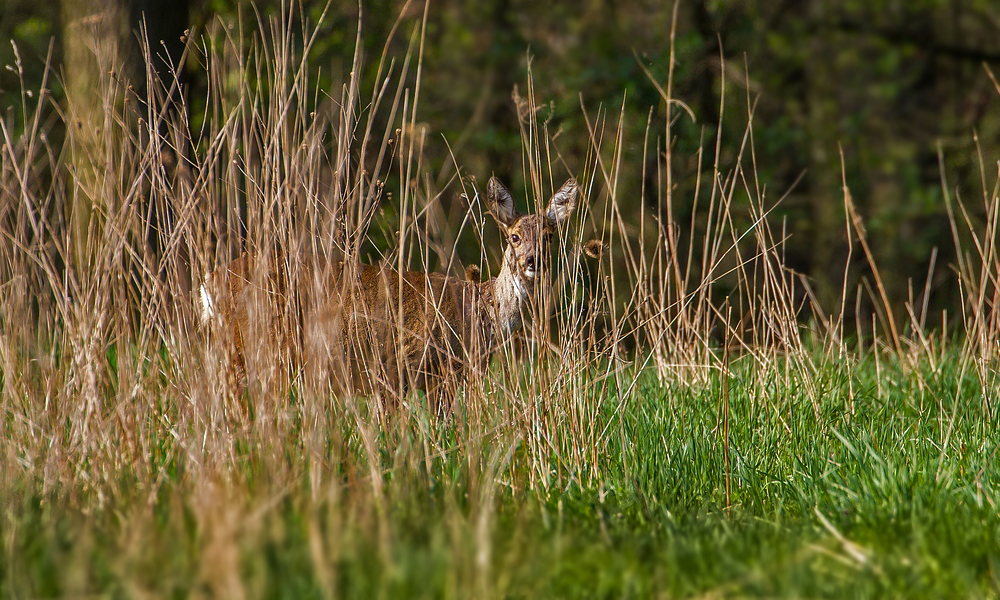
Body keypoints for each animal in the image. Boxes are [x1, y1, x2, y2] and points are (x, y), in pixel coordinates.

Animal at [197, 176, 580, 414]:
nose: (533, 260)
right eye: (514, 236)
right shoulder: (409, 366)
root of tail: (208, 281)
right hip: (259, 344)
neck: (481, 315)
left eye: (549, 235)